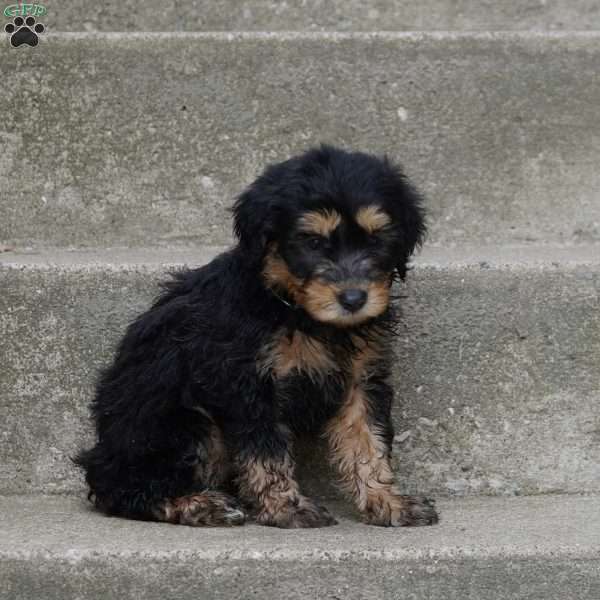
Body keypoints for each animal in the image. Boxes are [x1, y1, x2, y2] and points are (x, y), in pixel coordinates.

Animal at [77, 145, 438, 528]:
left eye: (376, 239)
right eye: (312, 242)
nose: (354, 299)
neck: (297, 311)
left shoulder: (361, 379)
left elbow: (368, 441)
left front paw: (388, 501)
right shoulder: (247, 381)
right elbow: (265, 449)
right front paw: (286, 507)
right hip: (186, 427)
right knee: (124, 490)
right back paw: (202, 505)